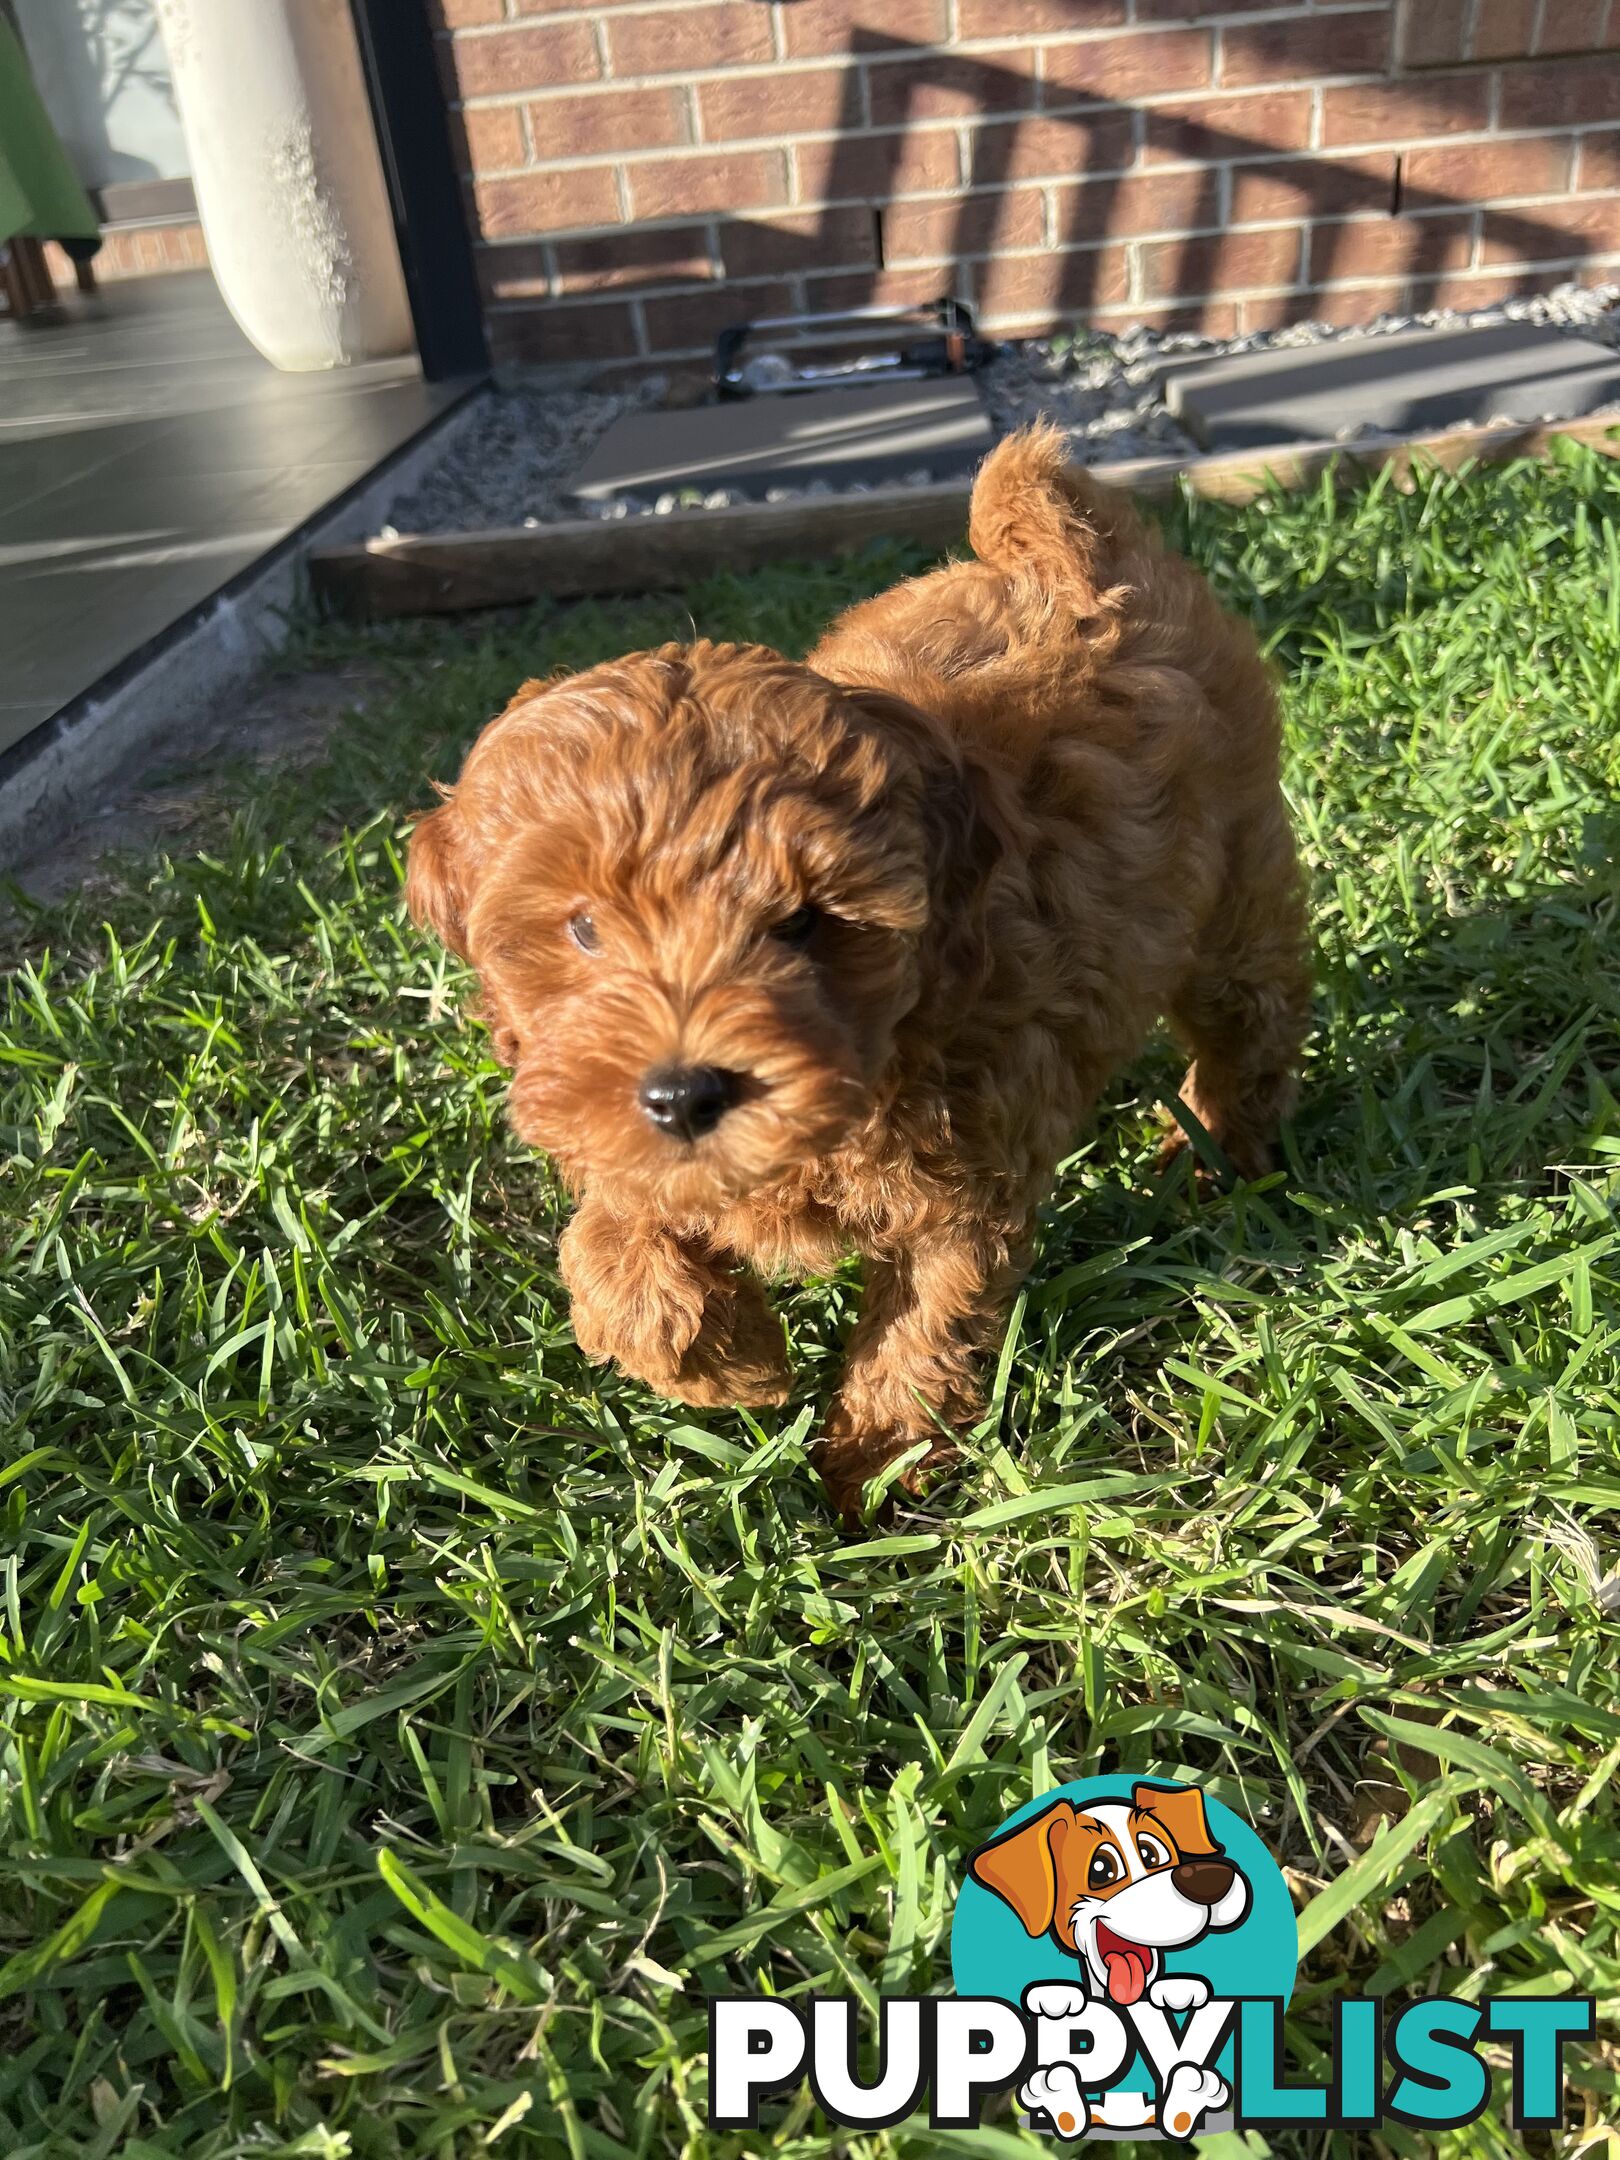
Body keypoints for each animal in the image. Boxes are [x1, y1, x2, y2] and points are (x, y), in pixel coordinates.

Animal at [412, 425, 1313, 1520]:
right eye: (583, 929)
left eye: (803, 922)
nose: (683, 1094)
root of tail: (1077, 556)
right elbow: (607, 1238)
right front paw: (730, 1358)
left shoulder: (969, 1178)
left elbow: (925, 1323)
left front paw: (874, 1471)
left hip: (1236, 886)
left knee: (1252, 1021)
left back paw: (1213, 1155)